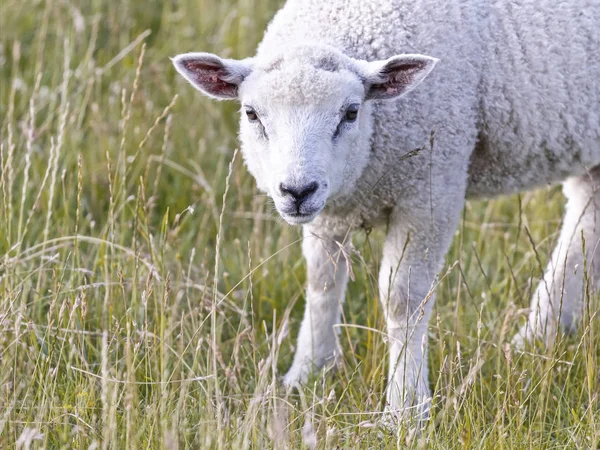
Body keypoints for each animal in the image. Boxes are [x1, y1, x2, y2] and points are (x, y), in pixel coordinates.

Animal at [171, 0, 596, 422]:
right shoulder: (331, 207)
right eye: (251, 114)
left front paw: (405, 408)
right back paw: (535, 339)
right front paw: (307, 374)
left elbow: (402, 297)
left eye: (351, 113)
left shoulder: (432, 185)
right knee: (585, 224)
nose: (297, 190)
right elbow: (322, 280)